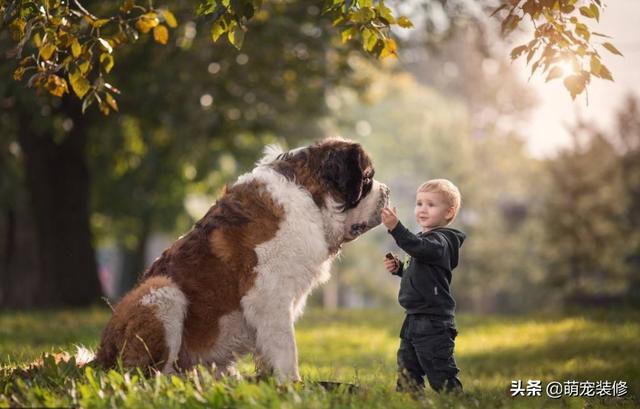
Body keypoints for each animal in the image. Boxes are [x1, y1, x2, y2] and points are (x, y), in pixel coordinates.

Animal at [95, 136, 390, 380]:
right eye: (367, 179)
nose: (387, 191)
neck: (309, 196)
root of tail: (99, 357)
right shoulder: (269, 297)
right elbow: (286, 349)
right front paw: (293, 387)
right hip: (162, 291)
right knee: (149, 376)